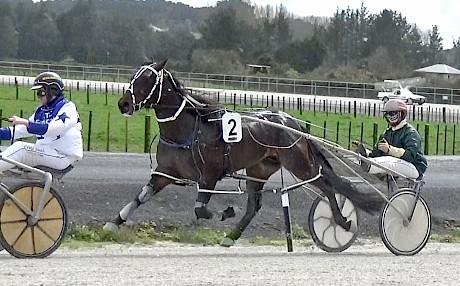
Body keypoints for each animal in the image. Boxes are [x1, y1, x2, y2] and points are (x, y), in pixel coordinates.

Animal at [103, 59, 380, 246]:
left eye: (146, 80)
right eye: (133, 77)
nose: (123, 104)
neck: (188, 129)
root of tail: (292, 122)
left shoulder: (209, 176)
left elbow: (201, 209)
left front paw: (226, 211)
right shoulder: (164, 173)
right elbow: (140, 197)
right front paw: (112, 223)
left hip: (300, 164)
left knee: (328, 187)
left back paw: (342, 222)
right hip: (259, 169)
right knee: (253, 206)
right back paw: (231, 236)